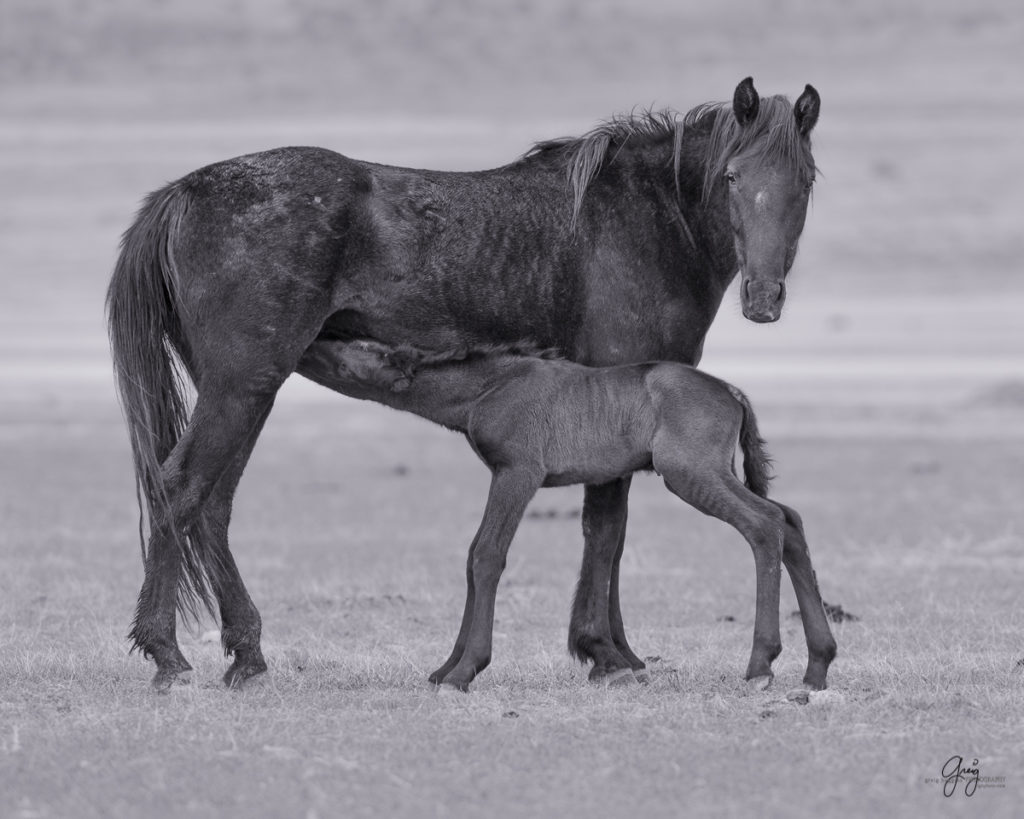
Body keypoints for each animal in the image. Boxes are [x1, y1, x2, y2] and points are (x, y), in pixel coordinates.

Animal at [294, 339, 831, 692]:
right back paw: (818, 665)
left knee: (764, 525)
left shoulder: (518, 473)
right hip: (715, 473)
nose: (311, 341)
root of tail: (732, 392)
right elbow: (472, 557)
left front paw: (465, 671)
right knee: (789, 520)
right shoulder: (508, 475)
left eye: (359, 348)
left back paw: (761, 665)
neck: (489, 387)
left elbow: (486, 556)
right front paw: (445, 668)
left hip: (690, 473)